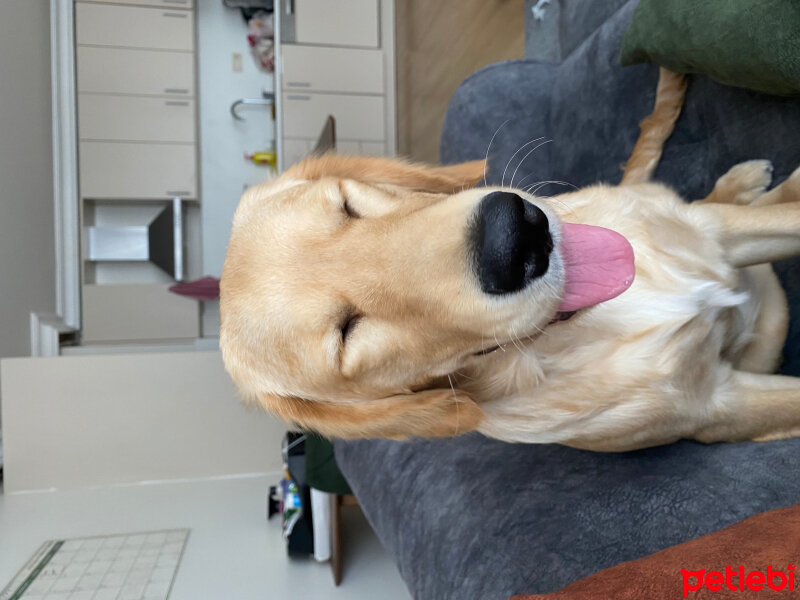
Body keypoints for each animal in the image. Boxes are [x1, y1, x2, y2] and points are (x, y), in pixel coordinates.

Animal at [222, 69, 800, 450]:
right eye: (347, 336)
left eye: (347, 205)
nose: (514, 237)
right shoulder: (713, 408)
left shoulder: (715, 232)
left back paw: (746, 182)